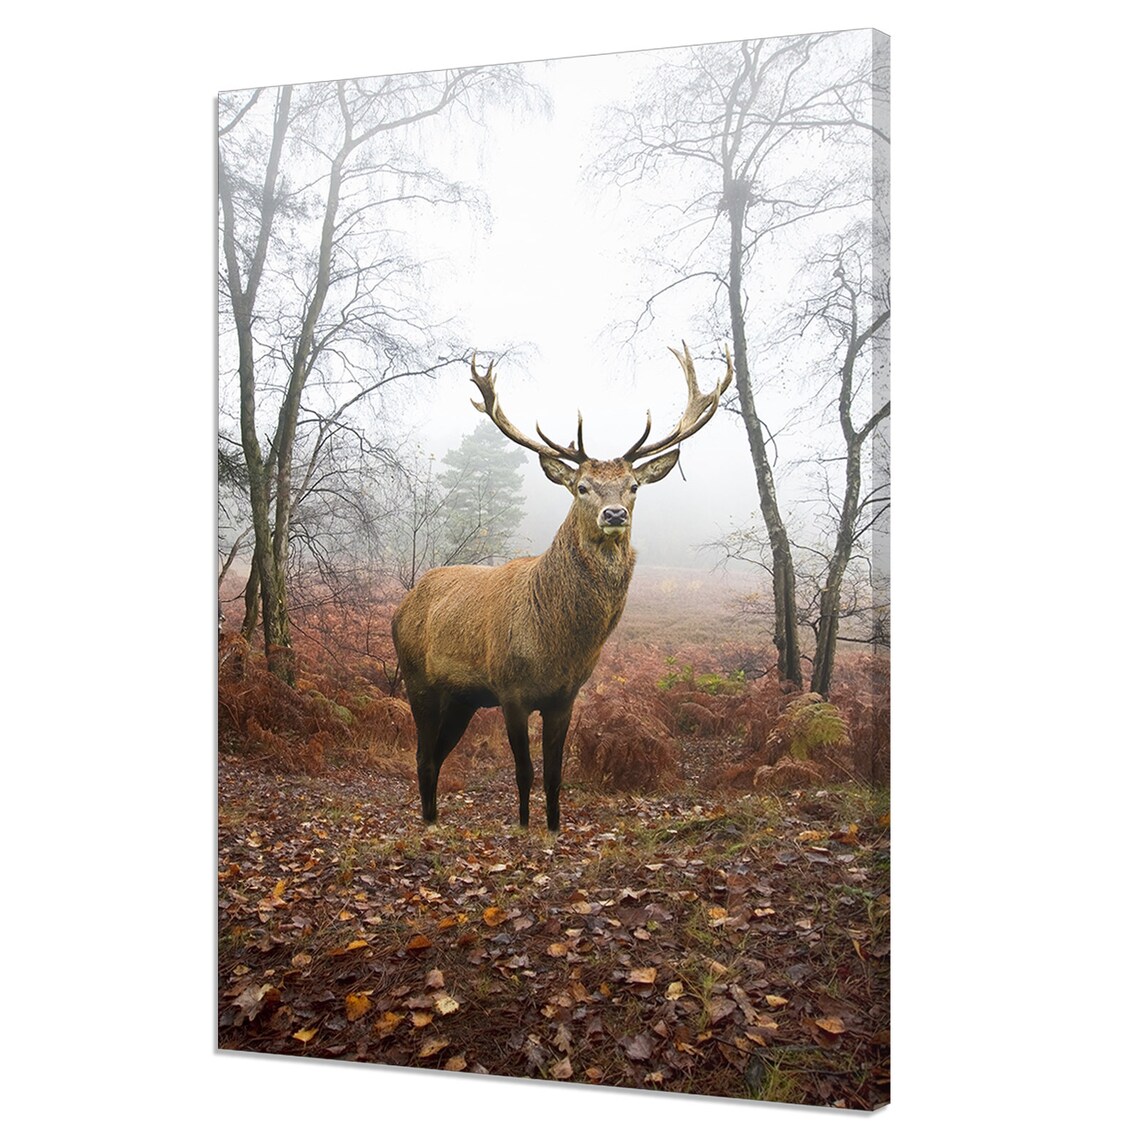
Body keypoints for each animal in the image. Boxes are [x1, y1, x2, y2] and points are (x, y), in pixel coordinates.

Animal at [391, 344, 732, 831]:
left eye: (633, 486)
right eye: (582, 486)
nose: (614, 514)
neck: (555, 644)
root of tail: (403, 605)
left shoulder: (565, 697)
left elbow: (555, 774)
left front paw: (553, 827)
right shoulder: (510, 691)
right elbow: (524, 771)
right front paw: (522, 825)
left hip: (462, 699)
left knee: (436, 757)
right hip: (418, 680)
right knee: (422, 757)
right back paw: (429, 822)